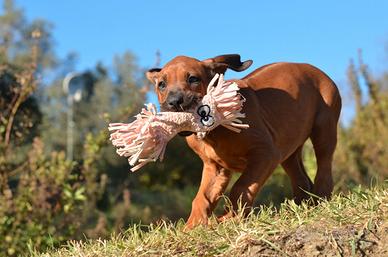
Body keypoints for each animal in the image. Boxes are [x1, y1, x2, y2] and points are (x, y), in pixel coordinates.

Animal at [147, 53, 342, 226]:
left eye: (193, 79)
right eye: (162, 84)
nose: (174, 102)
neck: (213, 130)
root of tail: (315, 69)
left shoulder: (265, 154)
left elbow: (240, 188)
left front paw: (231, 218)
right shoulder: (215, 168)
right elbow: (202, 198)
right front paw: (192, 226)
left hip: (324, 129)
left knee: (324, 167)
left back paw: (322, 198)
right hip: (288, 148)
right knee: (301, 178)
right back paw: (302, 206)